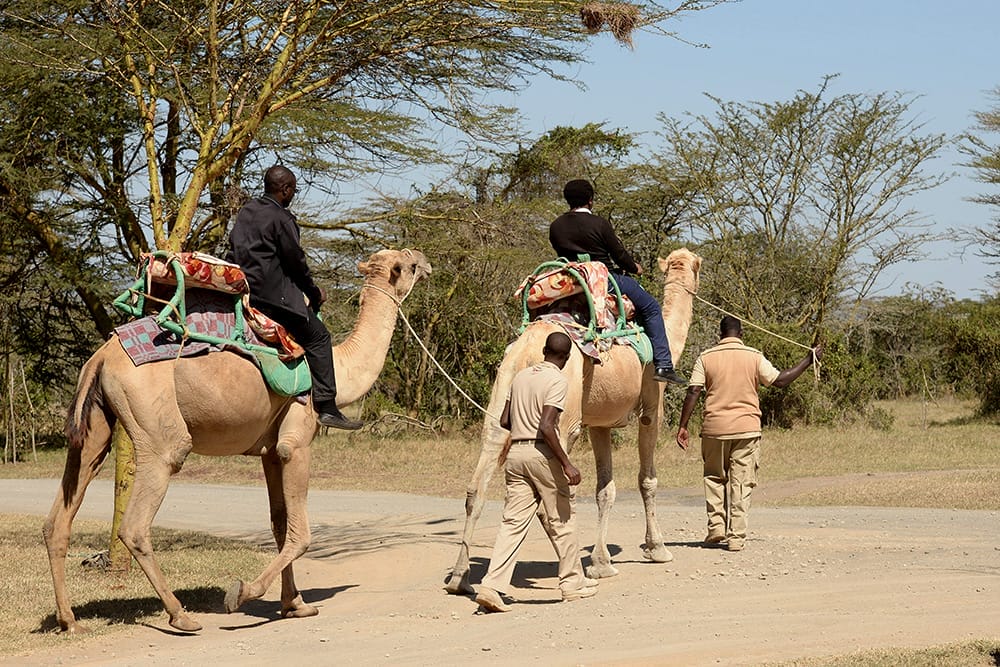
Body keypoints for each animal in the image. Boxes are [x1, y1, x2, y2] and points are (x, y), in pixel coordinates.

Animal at [43, 248, 431, 634]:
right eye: (409, 263)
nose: (426, 262)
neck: (342, 368)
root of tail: (101, 357)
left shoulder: (270, 452)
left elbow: (280, 525)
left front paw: (295, 605)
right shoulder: (296, 441)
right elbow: (301, 534)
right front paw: (243, 593)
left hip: (95, 427)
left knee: (60, 515)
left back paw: (69, 620)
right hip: (155, 424)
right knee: (140, 516)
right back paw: (181, 616)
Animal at [445, 248, 700, 594]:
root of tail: (528, 347)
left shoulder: (601, 423)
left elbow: (605, 489)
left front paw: (602, 563)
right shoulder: (652, 406)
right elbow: (647, 480)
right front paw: (657, 549)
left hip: (501, 397)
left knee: (477, 487)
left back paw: (461, 579)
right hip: (563, 415)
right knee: (552, 496)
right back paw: (571, 576)